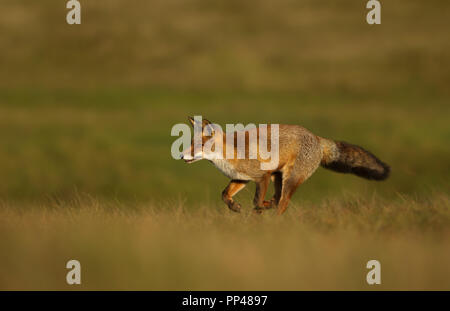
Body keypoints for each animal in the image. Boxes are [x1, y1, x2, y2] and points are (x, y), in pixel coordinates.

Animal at [181, 116, 388, 214]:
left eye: (198, 146)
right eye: (191, 143)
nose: (182, 155)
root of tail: (316, 137)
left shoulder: (262, 176)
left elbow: (256, 201)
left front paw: (258, 210)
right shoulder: (242, 178)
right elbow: (224, 194)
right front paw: (235, 207)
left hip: (289, 179)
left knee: (283, 203)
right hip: (278, 178)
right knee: (278, 199)